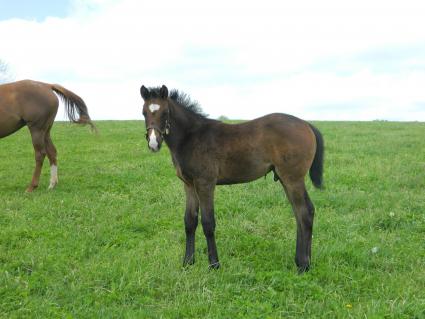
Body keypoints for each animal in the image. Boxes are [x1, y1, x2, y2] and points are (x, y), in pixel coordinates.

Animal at [141, 84, 322, 272]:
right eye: (143, 112)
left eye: (165, 112)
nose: (153, 143)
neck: (192, 136)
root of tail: (307, 124)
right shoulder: (189, 185)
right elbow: (190, 221)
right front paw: (187, 262)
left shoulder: (205, 183)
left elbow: (208, 223)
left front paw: (214, 264)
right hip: (285, 179)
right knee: (299, 213)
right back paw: (301, 261)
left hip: (293, 179)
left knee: (305, 212)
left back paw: (304, 265)